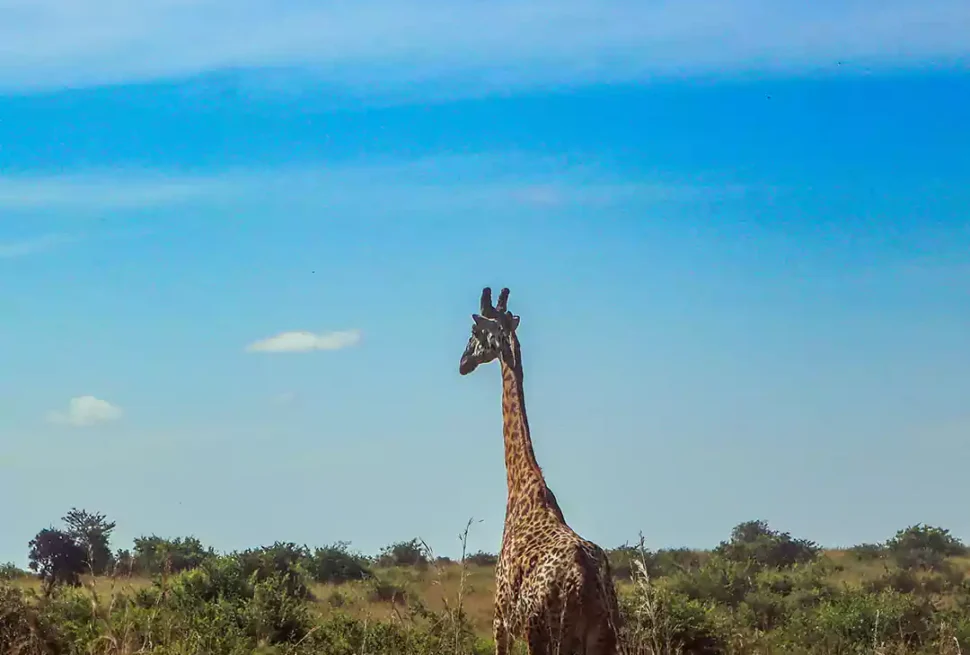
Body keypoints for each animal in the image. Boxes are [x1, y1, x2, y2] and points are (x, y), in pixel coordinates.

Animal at [460, 288, 624, 655]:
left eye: (475, 332)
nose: (462, 363)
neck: (521, 484)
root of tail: (585, 582)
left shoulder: (500, 619)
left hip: (546, 634)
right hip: (604, 636)